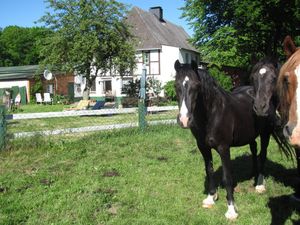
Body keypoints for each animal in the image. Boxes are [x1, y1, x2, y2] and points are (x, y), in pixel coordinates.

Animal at [173, 59, 284, 220]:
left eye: (196, 86)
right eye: (176, 85)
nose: (184, 120)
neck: (212, 114)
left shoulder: (223, 148)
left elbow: (227, 178)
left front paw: (231, 210)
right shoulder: (203, 147)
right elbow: (209, 171)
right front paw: (210, 198)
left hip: (265, 133)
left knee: (262, 154)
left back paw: (259, 184)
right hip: (249, 134)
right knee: (254, 148)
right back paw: (253, 174)